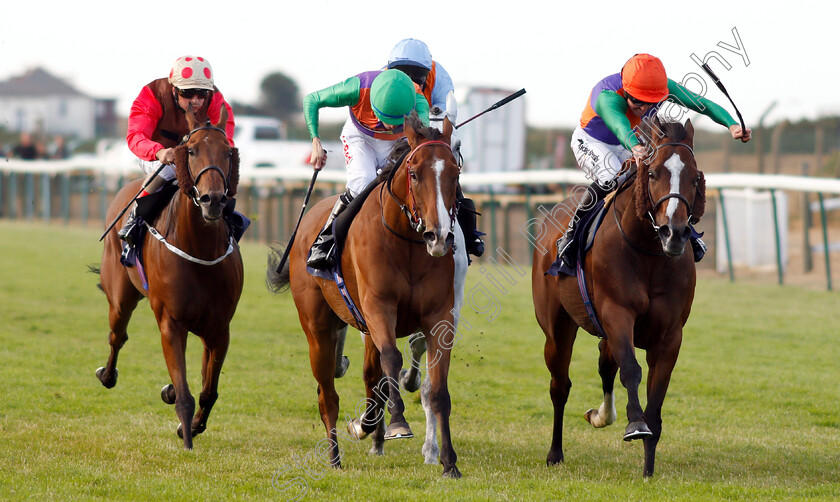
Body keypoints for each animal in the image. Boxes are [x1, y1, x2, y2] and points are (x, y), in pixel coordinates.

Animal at [94, 107, 243, 452]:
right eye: (191, 151)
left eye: (228, 152)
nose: (213, 199)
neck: (199, 248)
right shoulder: (171, 322)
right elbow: (186, 394)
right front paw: (187, 438)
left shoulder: (220, 328)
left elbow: (208, 389)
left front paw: (195, 426)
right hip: (120, 299)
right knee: (117, 336)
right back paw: (107, 375)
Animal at [270, 112, 462, 476]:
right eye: (414, 173)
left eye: (455, 173)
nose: (439, 236)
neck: (407, 243)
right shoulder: (378, 307)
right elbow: (392, 360)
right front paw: (398, 422)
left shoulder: (439, 316)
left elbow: (438, 391)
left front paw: (448, 462)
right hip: (317, 327)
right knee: (328, 394)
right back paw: (335, 455)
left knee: (370, 378)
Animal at [536, 117, 704, 478]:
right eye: (652, 173)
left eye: (694, 176)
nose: (674, 232)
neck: (649, 251)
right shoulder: (617, 313)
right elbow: (630, 369)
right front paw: (635, 424)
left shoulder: (670, 336)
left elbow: (656, 396)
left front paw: (648, 469)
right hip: (557, 329)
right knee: (560, 385)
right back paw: (555, 452)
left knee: (603, 362)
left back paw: (601, 415)